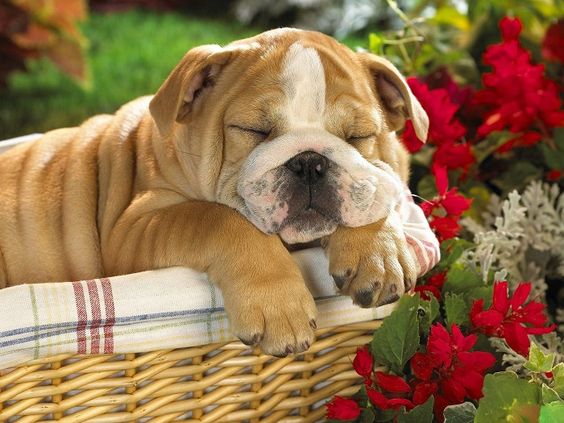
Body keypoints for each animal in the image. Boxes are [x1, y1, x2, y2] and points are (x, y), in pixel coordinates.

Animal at [0, 27, 428, 358]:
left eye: (358, 136)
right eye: (254, 130)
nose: (309, 161)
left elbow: (376, 190)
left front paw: (379, 254)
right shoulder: (132, 228)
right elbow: (220, 218)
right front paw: (279, 306)